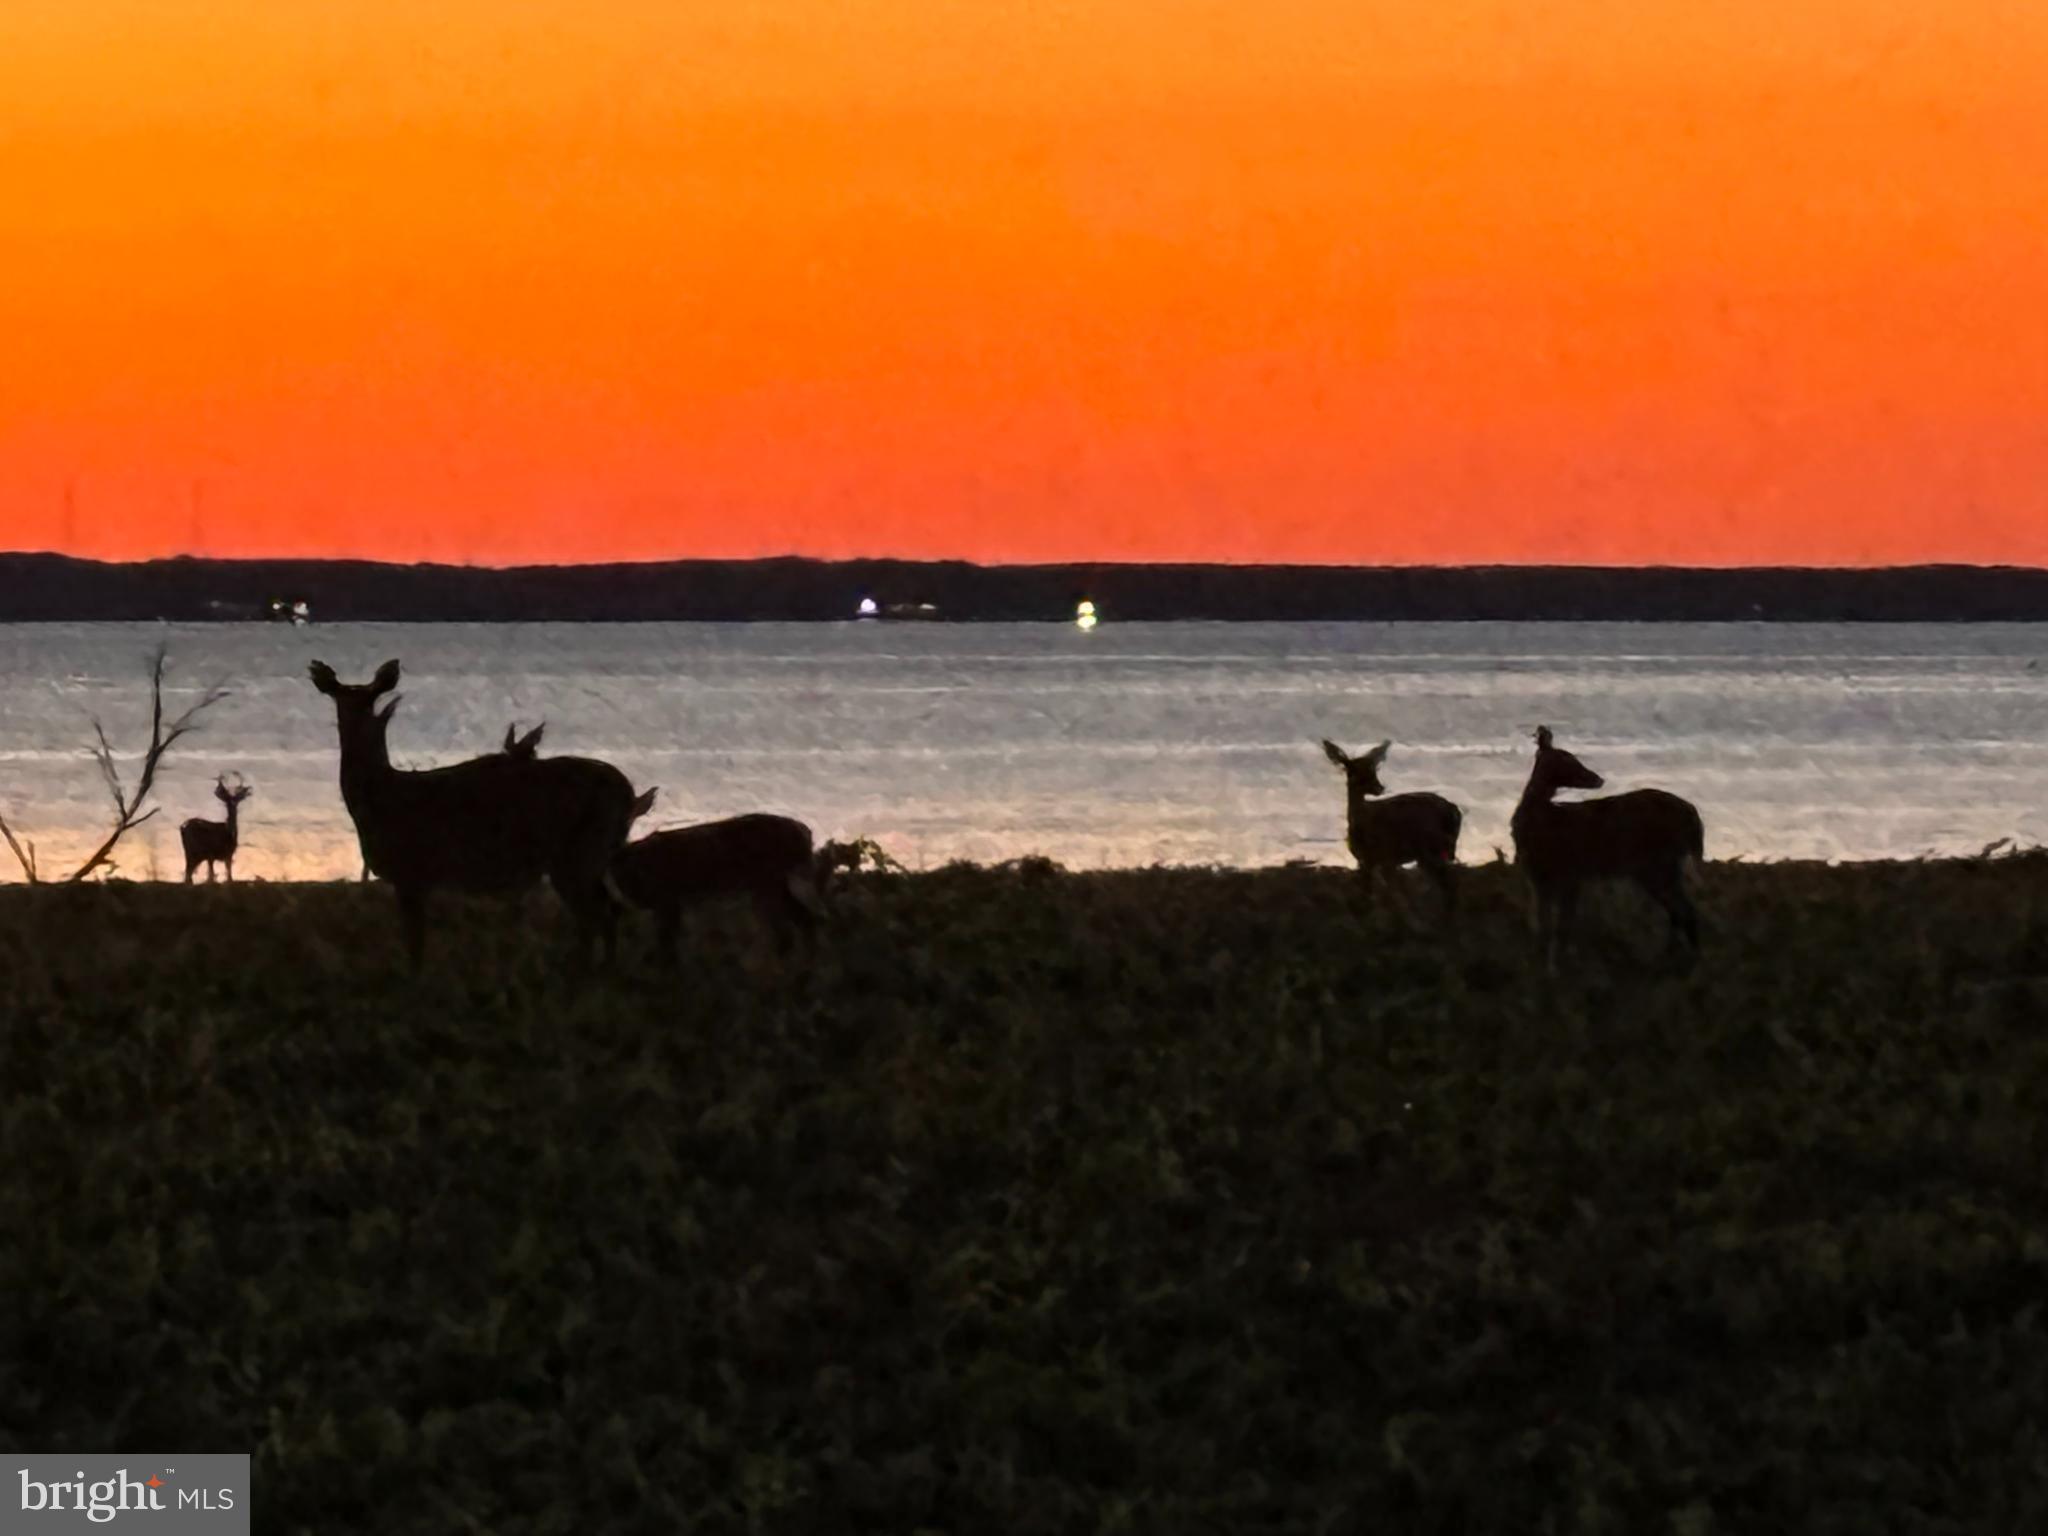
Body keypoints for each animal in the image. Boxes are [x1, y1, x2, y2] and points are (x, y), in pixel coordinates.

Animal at [309, 659, 641, 971]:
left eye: (372, 698)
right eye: (337, 698)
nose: (354, 724)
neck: (379, 800)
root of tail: (628, 794)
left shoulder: (412, 869)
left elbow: (415, 944)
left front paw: (415, 980)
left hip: (579, 852)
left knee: (599, 913)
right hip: (587, 856)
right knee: (605, 912)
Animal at [1320, 738, 1463, 919]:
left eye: (1374, 769)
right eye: (1352, 769)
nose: (1379, 787)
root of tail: (1454, 810)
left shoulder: (1383, 857)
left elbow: (1386, 899)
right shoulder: (1371, 861)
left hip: (1430, 848)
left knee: (1448, 883)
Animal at [1511, 726, 1705, 969]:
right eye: (1568, 759)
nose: (1598, 778)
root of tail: (1694, 817)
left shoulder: (1569, 873)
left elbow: (1561, 926)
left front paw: (1557, 967)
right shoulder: (1540, 878)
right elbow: (1543, 926)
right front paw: (1541, 964)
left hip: (1659, 863)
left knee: (1684, 910)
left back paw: (1685, 960)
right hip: (1660, 867)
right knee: (1679, 910)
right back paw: (1672, 957)